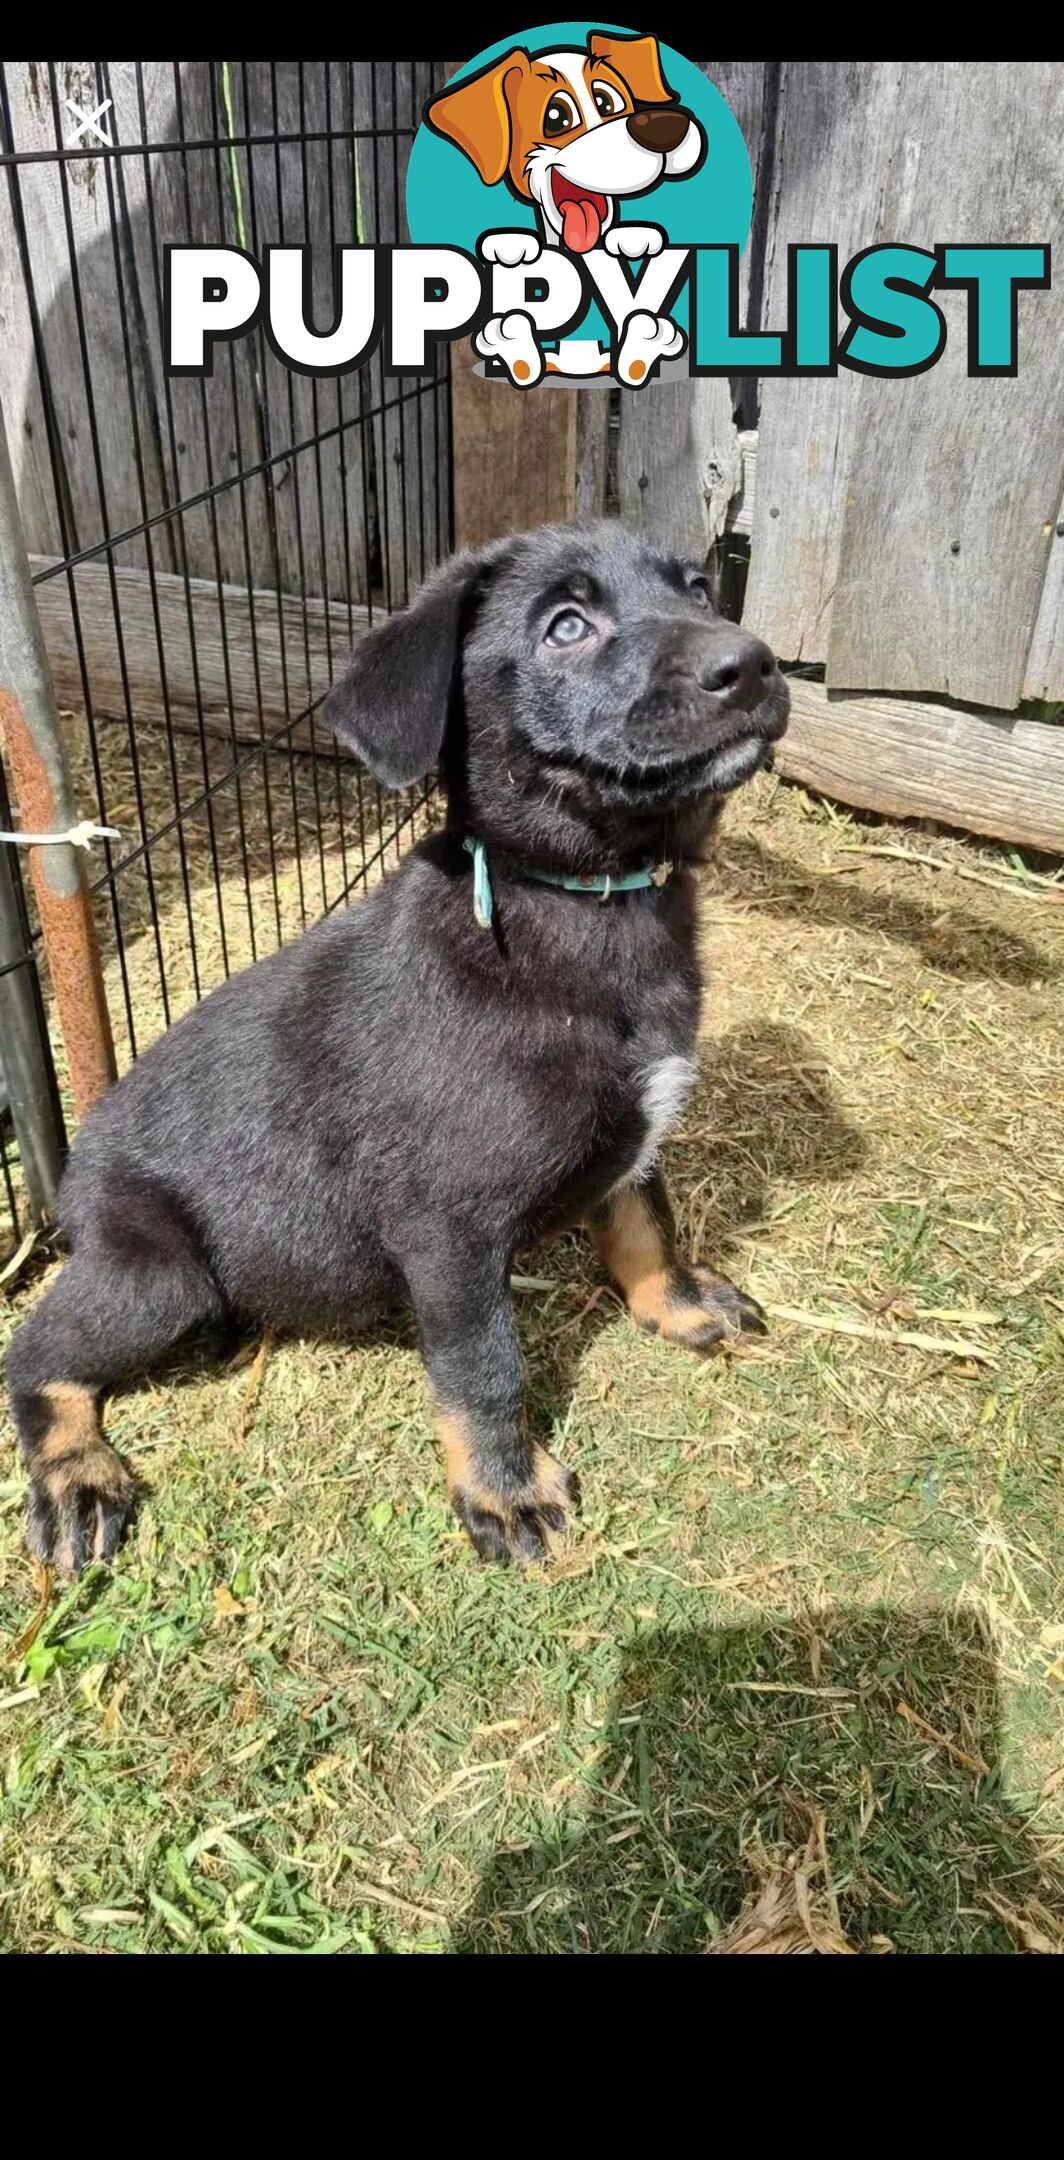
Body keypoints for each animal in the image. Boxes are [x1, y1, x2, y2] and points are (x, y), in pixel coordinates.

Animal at [6, 522, 789, 1572]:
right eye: (565, 626)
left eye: (700, 589)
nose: (750, 664)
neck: (588, 905)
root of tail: (72, 1181)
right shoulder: (448, 1230)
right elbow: (484, 1367)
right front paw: (504, 1490)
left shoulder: (638, 1135)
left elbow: (646, 1223)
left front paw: (680, 1302)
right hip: (157, 1276)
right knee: (35, 1354)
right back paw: (76, 1475)